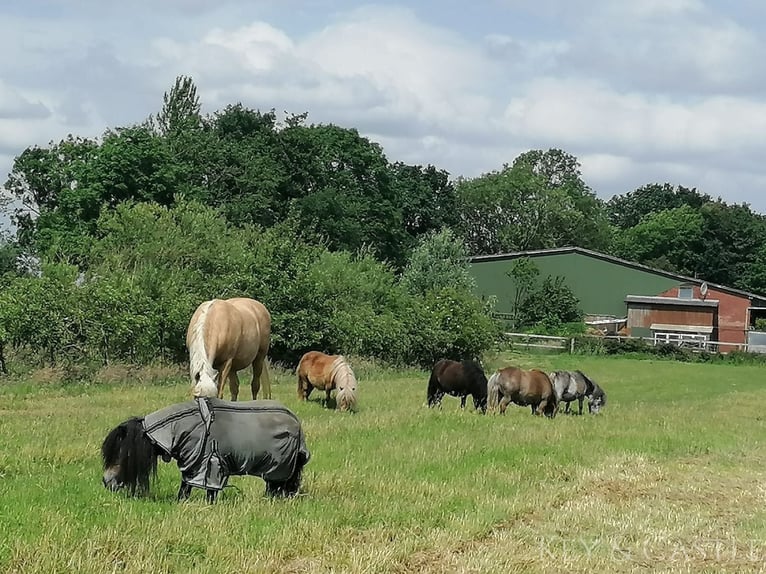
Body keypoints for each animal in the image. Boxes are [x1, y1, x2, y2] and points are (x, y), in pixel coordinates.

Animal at [102, 400, 312, 504]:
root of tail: (297, 424)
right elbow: (185, 488)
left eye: (124, 454)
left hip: (281, 469)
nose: (106, 481)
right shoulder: (194, 465)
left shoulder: (210, 464)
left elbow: (208, 491)